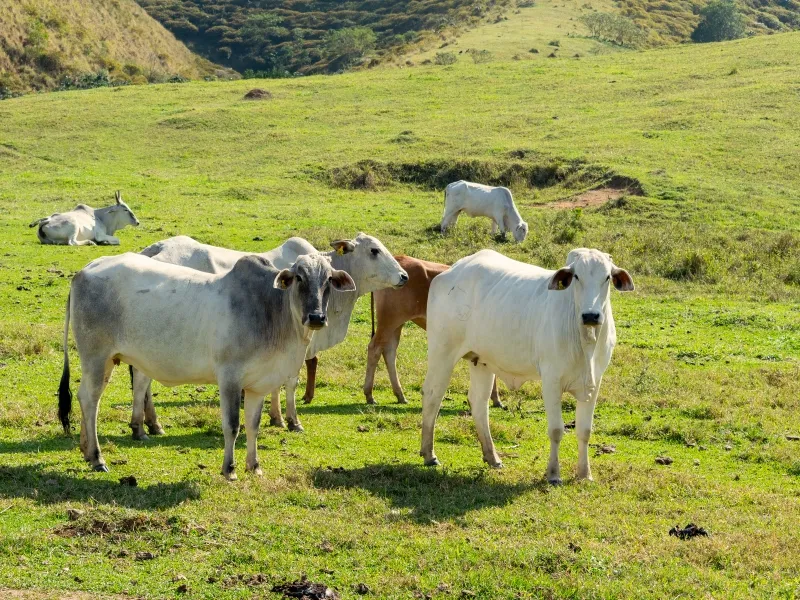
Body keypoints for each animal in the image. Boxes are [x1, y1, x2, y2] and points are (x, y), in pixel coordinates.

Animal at [57, 250, 354, 478]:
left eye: (328, 280)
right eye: (299, 278)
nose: (316, 317)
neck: (272, 312)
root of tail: (84, 271)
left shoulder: (258, 385)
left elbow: (253, 425)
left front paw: (254, 466)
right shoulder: (230, 378)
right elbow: (232, 425)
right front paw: (229, 469)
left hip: (106, 361)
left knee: (86, 399)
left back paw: (87, 451)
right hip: (96, 358)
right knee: (90, 400)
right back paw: (97, 457)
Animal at [134, 231, 410, 436]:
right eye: (374, 250)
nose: (404, 276)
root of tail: (154, 249)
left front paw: (276, 417)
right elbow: (290, 382)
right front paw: (292, 420)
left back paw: (151, 424)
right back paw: (151, 423)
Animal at [422, 247, 636, 482]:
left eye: (606, 277)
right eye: (577, 276)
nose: (591, 315)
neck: (584, 339)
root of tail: (452, 270)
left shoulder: (594, 381)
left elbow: (585, 431)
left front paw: (585, 474)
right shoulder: (551, 380)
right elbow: (556, 430)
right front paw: (553, 474)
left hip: (482, 362)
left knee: (478, 403)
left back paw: (492, 457)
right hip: (442, 351)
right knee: (433, 395)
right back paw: (429, 454)